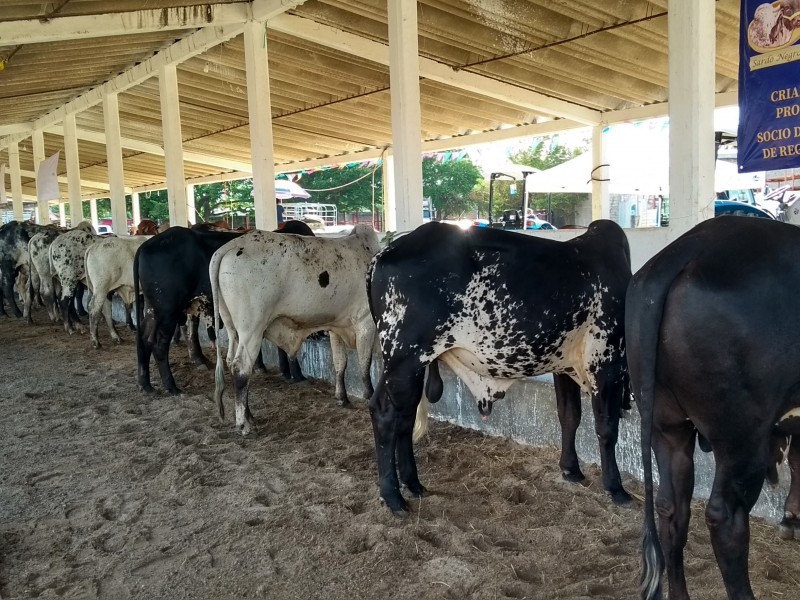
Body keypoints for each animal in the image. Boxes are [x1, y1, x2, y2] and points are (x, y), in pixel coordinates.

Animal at [136, 219, 314, 394]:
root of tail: (147, 244)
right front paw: (296, 374)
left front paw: (284, 371)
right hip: (167, 310)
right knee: (159, 344)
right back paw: (171, 386)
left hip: (154, 309)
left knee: (144, 337)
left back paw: (146, 384)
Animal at [212, 223, 382, 434]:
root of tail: (232, 245)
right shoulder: (365, 322)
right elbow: (364, 365)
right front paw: (369, 396)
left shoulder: (336, 327)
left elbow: (340, 363)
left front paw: (342, 397)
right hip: (251, 330)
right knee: (241, 368)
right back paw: (243, 424)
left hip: (233, 329)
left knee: (232, 362)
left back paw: (249, 416)